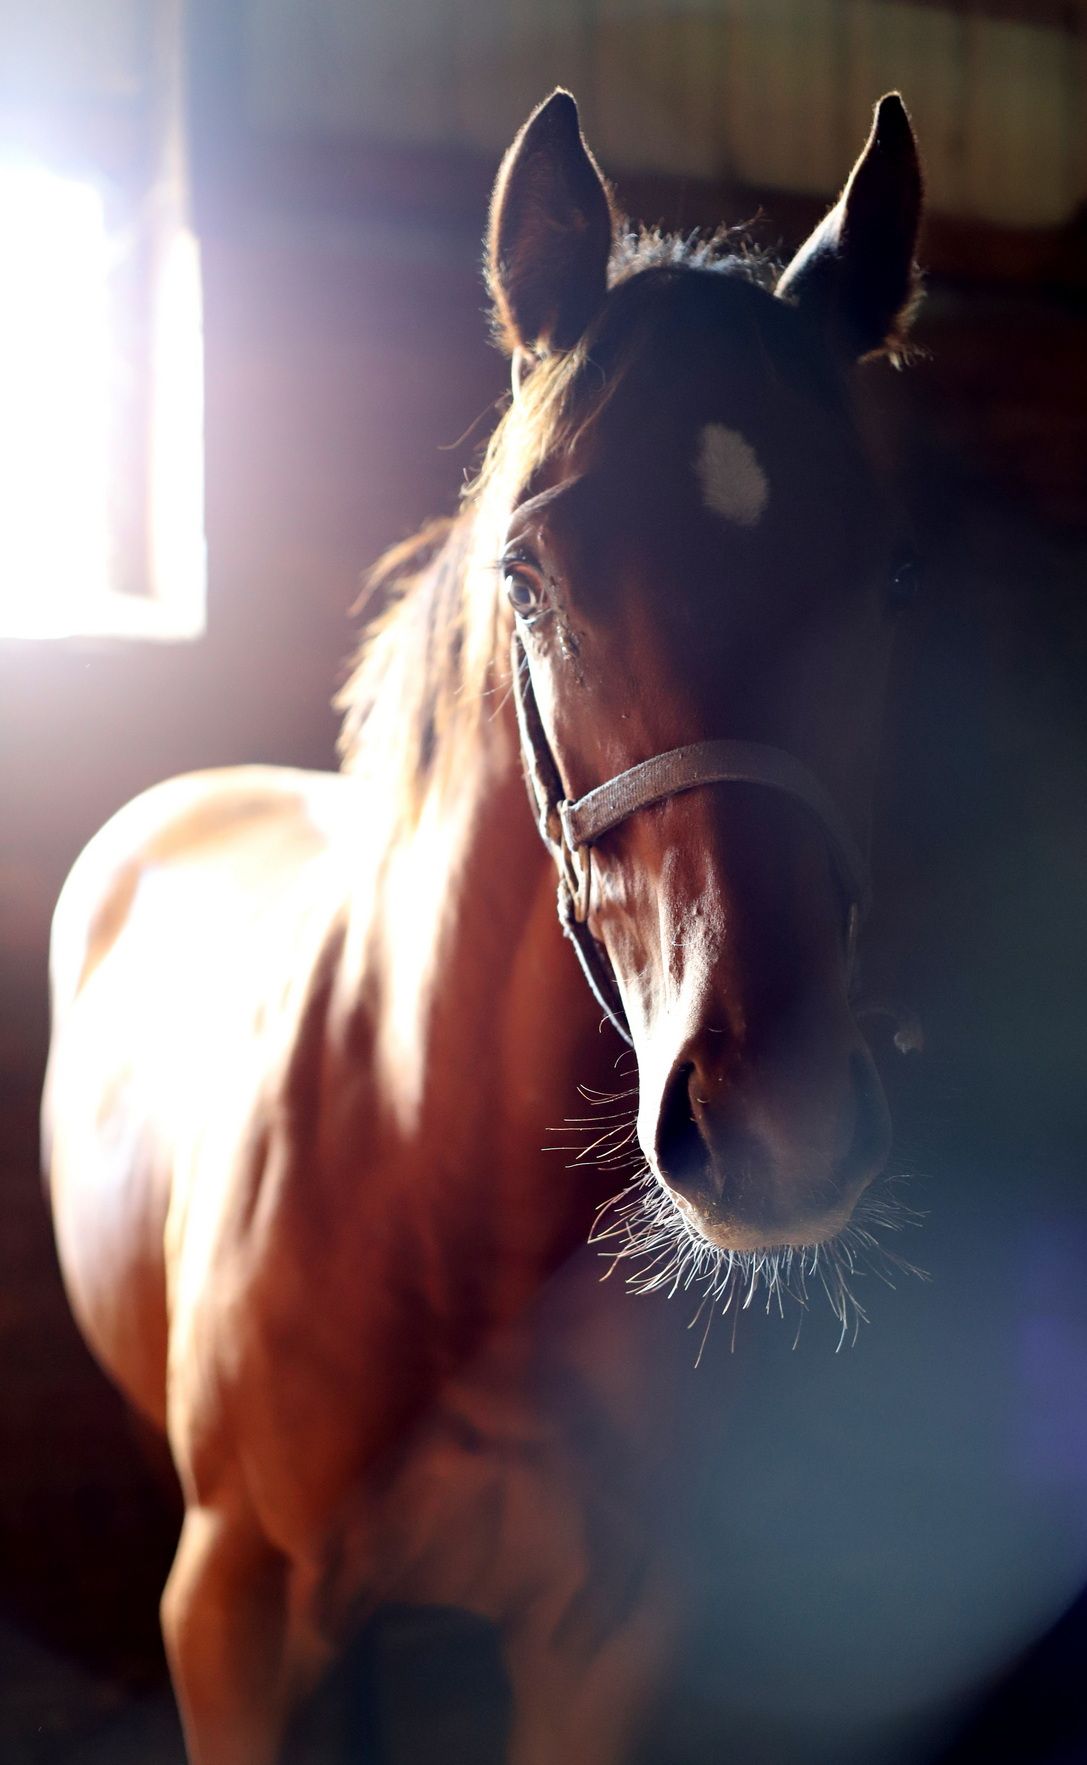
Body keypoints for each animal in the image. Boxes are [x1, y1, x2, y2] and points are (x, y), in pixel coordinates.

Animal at [43, 88, 924, 1764]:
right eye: (530, 574)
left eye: (879, 576)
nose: (772, 1123)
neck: (427, 1195)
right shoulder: (229, 1620)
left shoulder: (605, 1640)